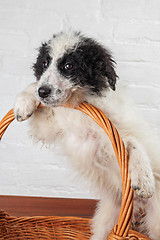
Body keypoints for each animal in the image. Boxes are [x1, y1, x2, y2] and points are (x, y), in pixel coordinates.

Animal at [13, 31, 160, 239]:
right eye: (44, 63)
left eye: (69, 66)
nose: (43, 92)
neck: (78, 103)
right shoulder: (49, 127)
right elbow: (33, 87)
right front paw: (23, 103)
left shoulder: (111, 137)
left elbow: (132, 141)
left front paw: (144, 180)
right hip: (107, 220)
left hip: (157, 220)